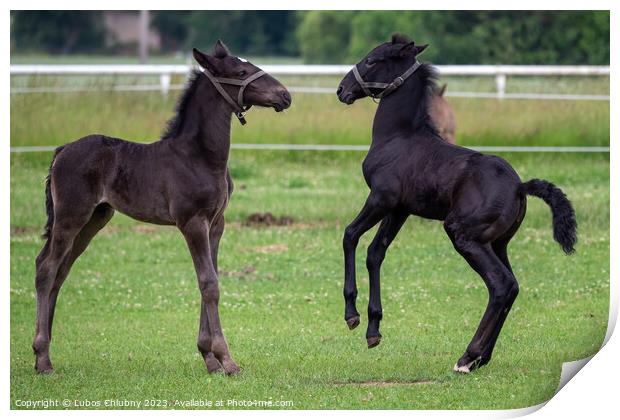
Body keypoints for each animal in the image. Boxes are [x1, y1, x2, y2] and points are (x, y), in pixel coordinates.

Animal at [34, 41, 294, 376]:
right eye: (240, 71)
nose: (285, 95)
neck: (200, 156)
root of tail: (62, 150)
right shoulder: (192, 222)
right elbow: (209, 284)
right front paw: (226, 359)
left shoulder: (216, 224)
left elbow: (210, 279)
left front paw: (209, 358)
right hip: (70, 216)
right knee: (46, 267)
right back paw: (42, 358)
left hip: (95, 218)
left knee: (61, 271)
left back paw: (43, 354)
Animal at [336, 34, 580, 372]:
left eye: (372, 60)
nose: (342, 90)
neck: (398, 137)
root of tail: (520, 186)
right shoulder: (399, 209)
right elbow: (376, 252)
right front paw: (373, 330)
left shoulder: (380, 198)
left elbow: (350, 235)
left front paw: (352, 315)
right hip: (497, 243)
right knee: (512, 286)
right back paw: (481, 358)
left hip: (464, 235)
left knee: (500, 285)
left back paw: (467, 357)